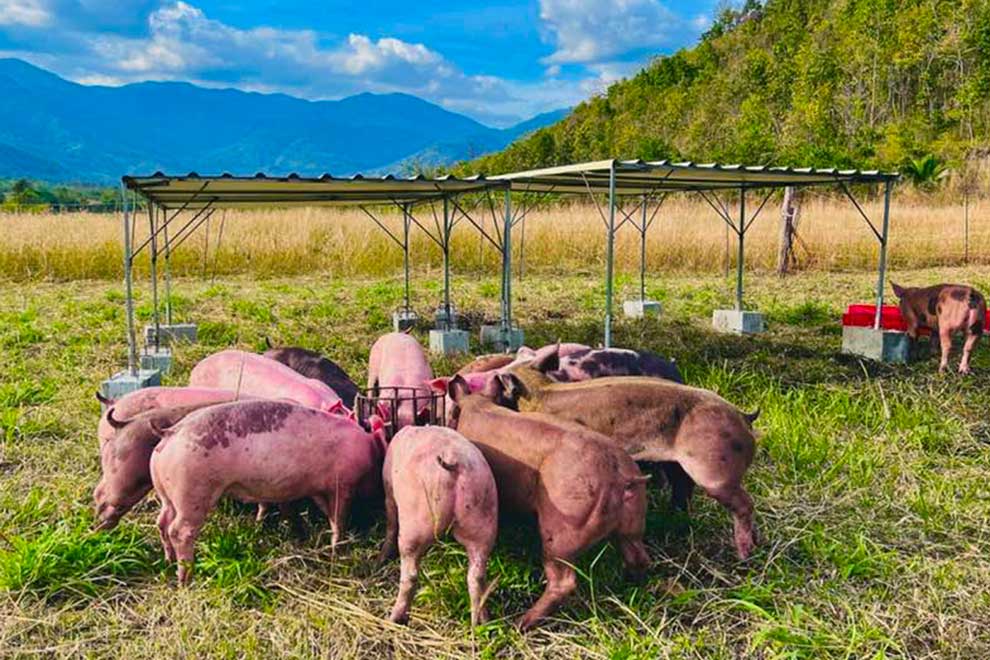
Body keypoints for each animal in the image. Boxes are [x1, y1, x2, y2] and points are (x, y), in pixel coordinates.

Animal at [149, 400, 386, 584]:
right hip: (193, 493)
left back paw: (168, 560)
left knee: (162, 522)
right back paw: (186, 579)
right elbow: (339, 517)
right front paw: (338, 549)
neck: (367, 450)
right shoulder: (342, 485)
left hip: (167, 494)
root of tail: (170, 433)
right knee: (179, 530)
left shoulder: (319, 488)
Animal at [377, 425, 498, 626]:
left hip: (415, 523)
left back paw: (394, 619)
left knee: (410, 574)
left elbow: (391, 523)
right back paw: (480, 622)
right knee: (477, 576)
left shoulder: (388, 489)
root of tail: (454, 463)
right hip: (483, 518)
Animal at [446, 375, 650, 631]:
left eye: (452, 413)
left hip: (562, 527)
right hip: (634, 520)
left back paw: (522, 623)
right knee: (639, 555)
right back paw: (629, 583)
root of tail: (621, 477)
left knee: (564, 581)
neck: (477, 406)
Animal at [486, 348, 759, 560]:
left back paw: (744, 553)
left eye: (499, 381)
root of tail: (744, 416)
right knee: (685, 488)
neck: (539, 391)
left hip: (715, 467)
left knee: (744, 503)